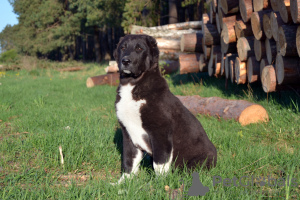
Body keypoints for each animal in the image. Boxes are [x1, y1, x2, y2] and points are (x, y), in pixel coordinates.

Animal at [113, 34, 217, 184]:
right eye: (122, 48)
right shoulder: (128, 133)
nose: (125, 60)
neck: (133, 85)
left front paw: (159, 184)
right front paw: (122, 183)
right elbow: (129, 160)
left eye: (139, 48)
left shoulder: (160, 131)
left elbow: (160, 162)